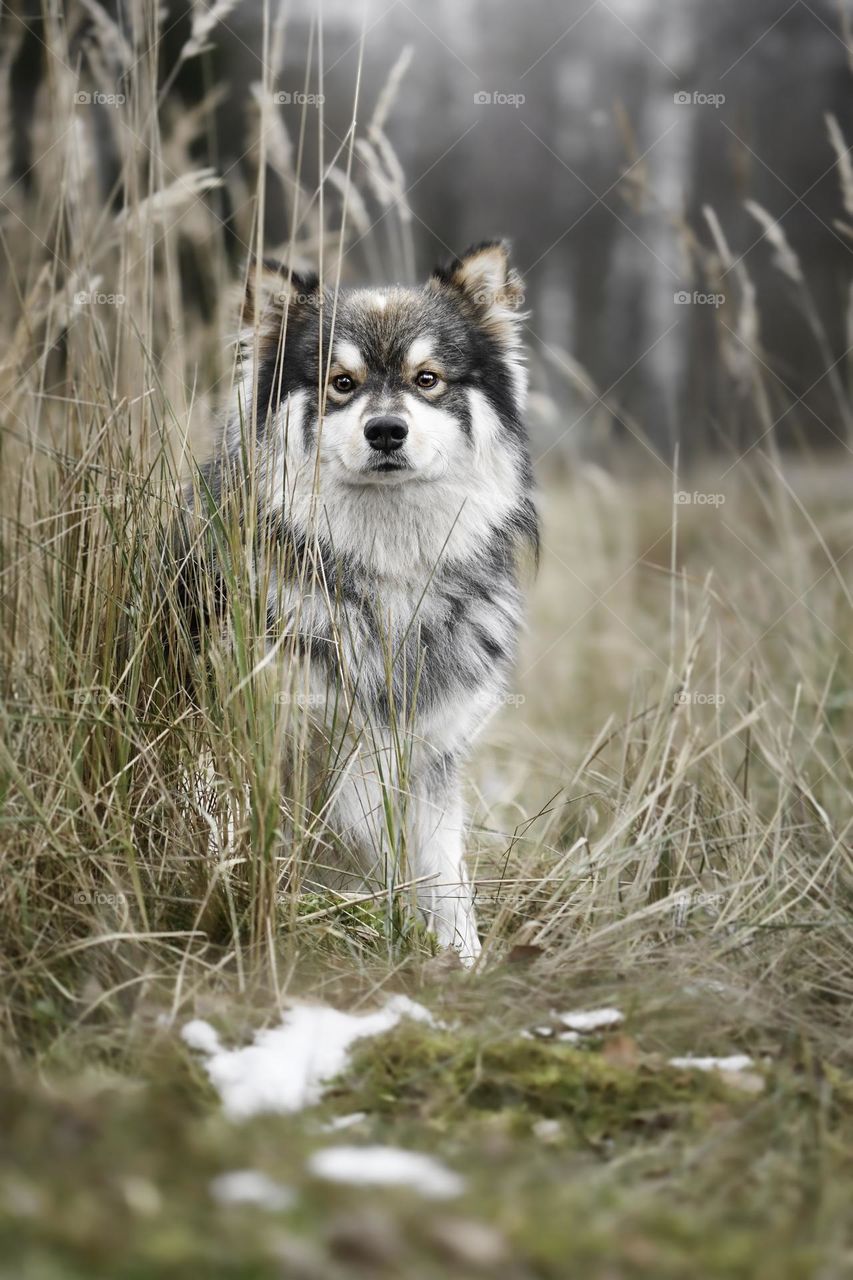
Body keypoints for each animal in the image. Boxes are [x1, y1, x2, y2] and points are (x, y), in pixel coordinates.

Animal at [181, 241, 535, 962]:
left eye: (426, 379)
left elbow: (445, 878)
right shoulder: (273, 749)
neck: (384, 573)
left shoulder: (428, 757)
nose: (386, 430)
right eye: (341, 383)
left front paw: (462, 962)